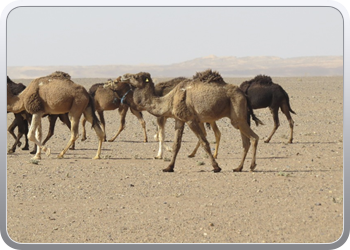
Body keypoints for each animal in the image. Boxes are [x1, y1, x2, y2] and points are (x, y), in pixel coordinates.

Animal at [121, 69, 262, 173]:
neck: (169, 99)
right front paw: (169, 167)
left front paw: (216, 167)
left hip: (237, 115)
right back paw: (238, 168)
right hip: (240, 118)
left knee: (254, 138)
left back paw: (252, 166)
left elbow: (204, 142)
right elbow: (176, 144)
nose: (123, 76)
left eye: (135, 76)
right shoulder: (179, 120)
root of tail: (244, 94)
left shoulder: (190, 120)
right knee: (246, 142)